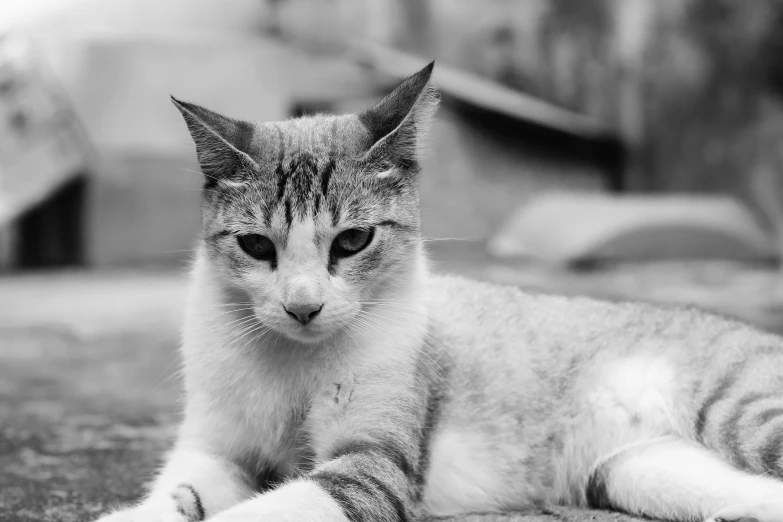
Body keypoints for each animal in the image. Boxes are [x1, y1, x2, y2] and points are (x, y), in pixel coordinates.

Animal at [96, 64, 783, 520]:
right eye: (257, 246)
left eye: (352, 241)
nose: (303, 307)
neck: (291, 363)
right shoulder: (216, 449)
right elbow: (178, 494)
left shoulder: (371, 470)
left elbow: (263, 511)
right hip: (640, 471)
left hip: (743, 416)